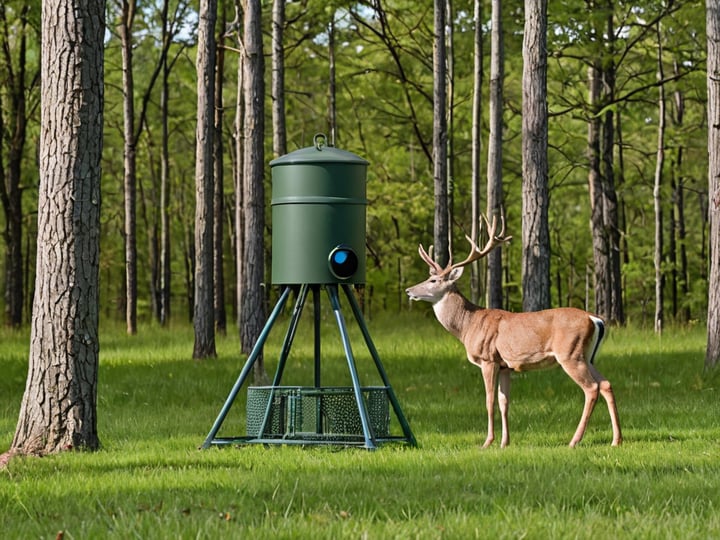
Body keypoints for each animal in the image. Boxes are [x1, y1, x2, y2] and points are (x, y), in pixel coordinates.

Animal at [405, 214, 622, 448]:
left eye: (433, 280)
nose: (409, 290)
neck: (467, 325)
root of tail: (595, 319)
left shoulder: (488, 358)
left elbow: (489, 400)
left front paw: (487, 442)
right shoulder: (505, 365)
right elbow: (504, 402)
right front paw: (504, 442)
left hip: (570, 353)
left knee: (591, 388)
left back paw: (574, 441)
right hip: (588, 356)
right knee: (606, 384)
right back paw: (616, 439)